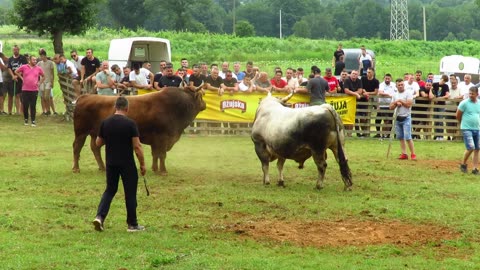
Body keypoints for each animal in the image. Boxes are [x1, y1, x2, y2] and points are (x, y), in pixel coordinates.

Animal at [72, 87, 205, 175]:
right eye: (201, 96)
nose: (204, 104)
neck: (175, 106)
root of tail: (85, 96)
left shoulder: (156, 140)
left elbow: (155, 154)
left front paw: (154, 169)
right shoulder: (162, 138)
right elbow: (162, 154)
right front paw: (163, 171)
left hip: (95, 134)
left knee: (95, 147)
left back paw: (102, 167)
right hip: (81, 133)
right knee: (77, 147)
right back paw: (76, 168)